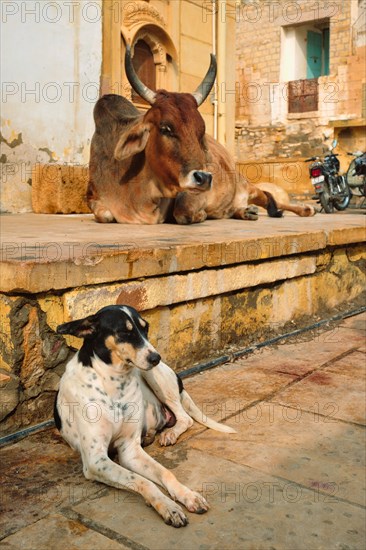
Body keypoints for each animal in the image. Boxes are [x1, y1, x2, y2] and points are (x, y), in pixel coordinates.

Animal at [54, 308, 234, 528]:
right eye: (125, 332)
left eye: (146, 328)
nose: (156, 357)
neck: (113, 381)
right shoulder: (96, 460)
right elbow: (143, 481)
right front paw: (169, 507)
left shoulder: (129, 449)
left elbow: (165, 472)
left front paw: (187, 495)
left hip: (155, 378)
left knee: (185, 417)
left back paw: (169, 434)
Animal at [87, 46, 316, 224]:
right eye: (165, 128)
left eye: (201, 131)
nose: (204, 177)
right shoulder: (94, 196)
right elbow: (105, 214)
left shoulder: (190, 194)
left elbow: (182, 213)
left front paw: (202, 215)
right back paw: (246, 212)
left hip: (247, 186)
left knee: (271, 199)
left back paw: (305, 209)